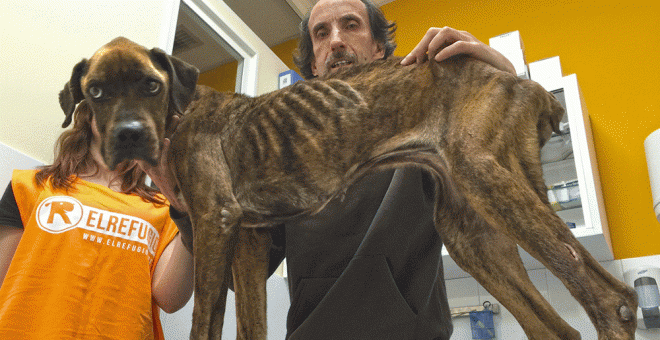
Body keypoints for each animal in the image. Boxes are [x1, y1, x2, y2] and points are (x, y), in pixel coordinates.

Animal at [59, 37, 636, 340]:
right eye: (96, 92)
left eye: (151, 85)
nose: (129, 136)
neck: (177, 115)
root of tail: (525, 83)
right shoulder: (247, 242)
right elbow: (249, 324)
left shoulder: (216, 224)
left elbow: (205, 322)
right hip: (471, 234)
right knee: (561, 328)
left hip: (485, 175)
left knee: (613, 299)